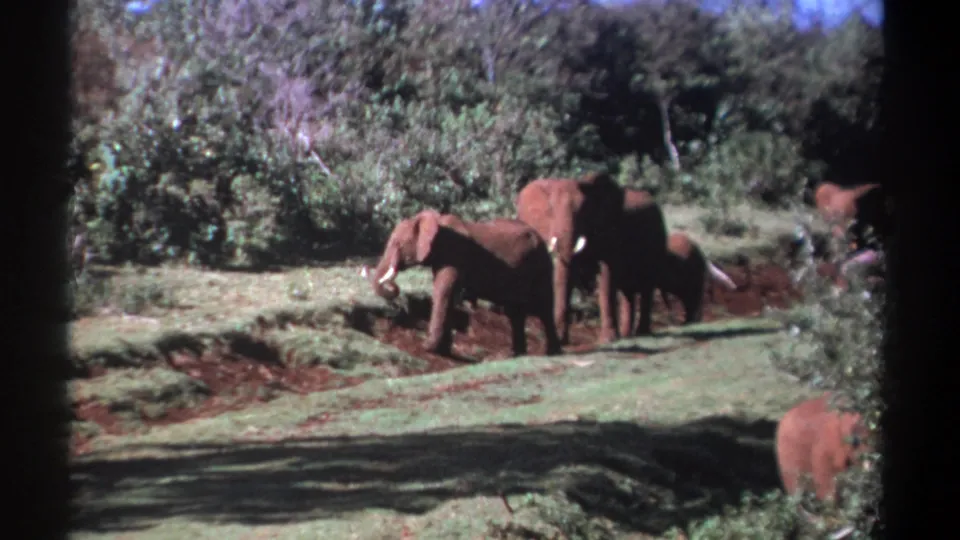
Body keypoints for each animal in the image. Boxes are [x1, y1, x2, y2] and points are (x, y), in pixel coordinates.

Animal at [360, 209, 562, 357]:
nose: (394, 288)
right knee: (516, 311)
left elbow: (444, 291)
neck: (436, 223)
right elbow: (447, 295)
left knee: (543, 307)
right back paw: (517, 354)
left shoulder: (455, 254)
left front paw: (428, 347)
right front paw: (442, 350)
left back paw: (552, 353)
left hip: (541, 264)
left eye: (397, 244)